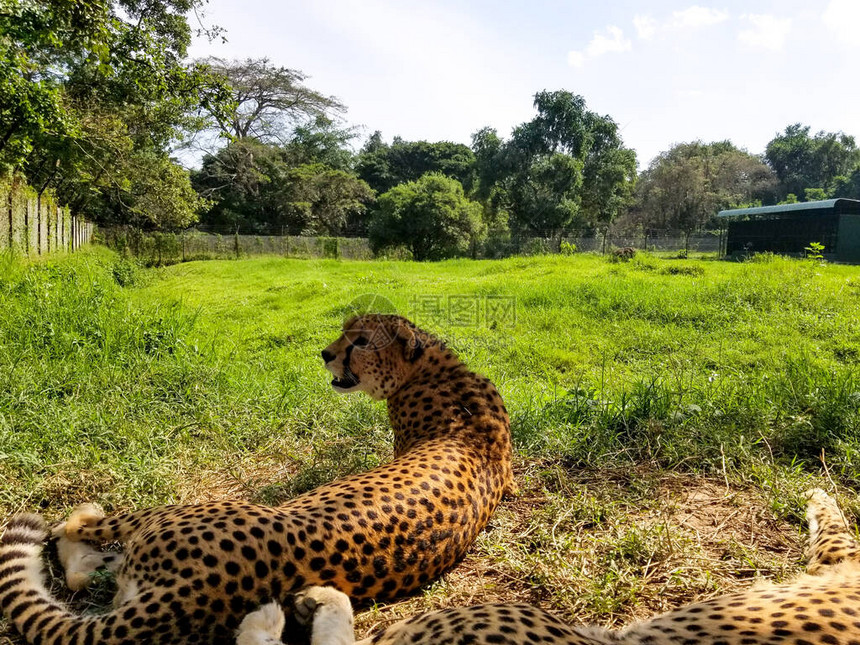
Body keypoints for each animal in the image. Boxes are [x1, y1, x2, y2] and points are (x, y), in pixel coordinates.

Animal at [0, 316, 512, 644]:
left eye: (361, 340)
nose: (326, 353)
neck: (434, 368)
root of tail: (188, 594)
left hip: (171, 514)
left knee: (75, 536)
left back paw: (81, 513)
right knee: (86, 574)